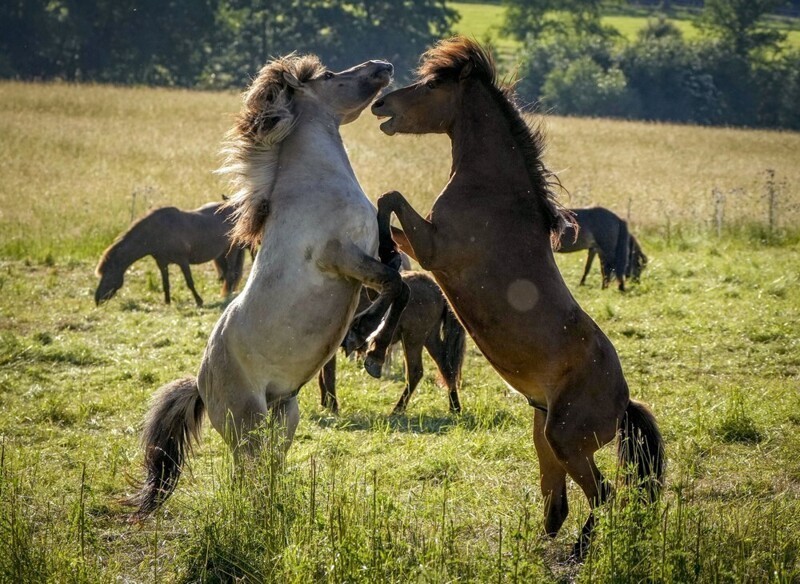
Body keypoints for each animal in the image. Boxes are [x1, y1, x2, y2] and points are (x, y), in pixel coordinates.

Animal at [94, 201, 244, 306]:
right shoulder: (162, 263)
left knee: (230, 274)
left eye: (108, 275)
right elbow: (165, 283)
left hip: (231, 250)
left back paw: (227, 296)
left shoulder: (183, 261)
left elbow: (189, 282)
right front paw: (167, 302)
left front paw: (199, 301)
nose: (97, 299)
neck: (158, 232)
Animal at [130, 53, 412, 520]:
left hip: (286, 413)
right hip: (250, 421)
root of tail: (201, 384)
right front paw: (367, 344)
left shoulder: (369, 255)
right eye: (330, 76)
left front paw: (365, 339)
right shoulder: (341, 257)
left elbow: (396, 278)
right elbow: (394, 287)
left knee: (267, 469)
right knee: (248, 473)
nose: (383, 65)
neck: (316, 187)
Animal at [318, 272, 466, 416]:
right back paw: (455, 408)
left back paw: (397, 409)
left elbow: (328, 375)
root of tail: (434, 286)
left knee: (415, 372)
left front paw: (333, 407)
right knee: (446, 368)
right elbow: (322, 374)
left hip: (413, 339)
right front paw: (325, 404)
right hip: (429, 338)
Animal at [368, 38, 664, 560]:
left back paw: (579, 552)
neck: (491, 189)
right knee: (558, 504)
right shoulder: (426, 247)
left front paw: (376, 347)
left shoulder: (435, 247)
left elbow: (390, 199)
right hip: (545, 437)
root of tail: (623, 400)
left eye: (432, 84)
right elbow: (387, 218)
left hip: (565, 440)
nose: (380, 104)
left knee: (602, 494)